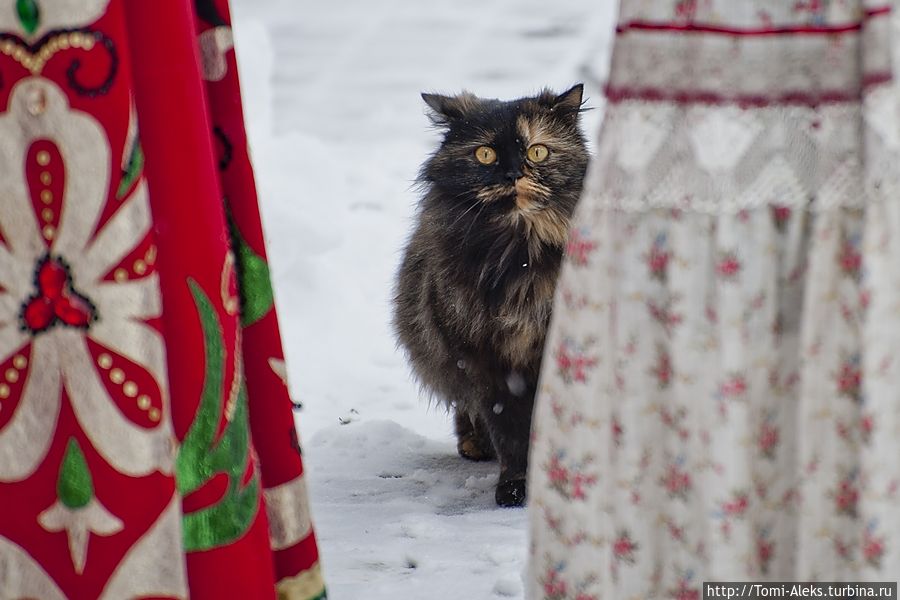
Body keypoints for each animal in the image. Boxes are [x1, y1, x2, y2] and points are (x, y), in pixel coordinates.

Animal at [390, 84, 588, 506]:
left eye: (537, 152)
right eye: (485, 154)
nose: (513, 173)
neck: (521, 258)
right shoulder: (486, 361)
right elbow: (510, 432)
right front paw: (514, 487)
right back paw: (474, 445)